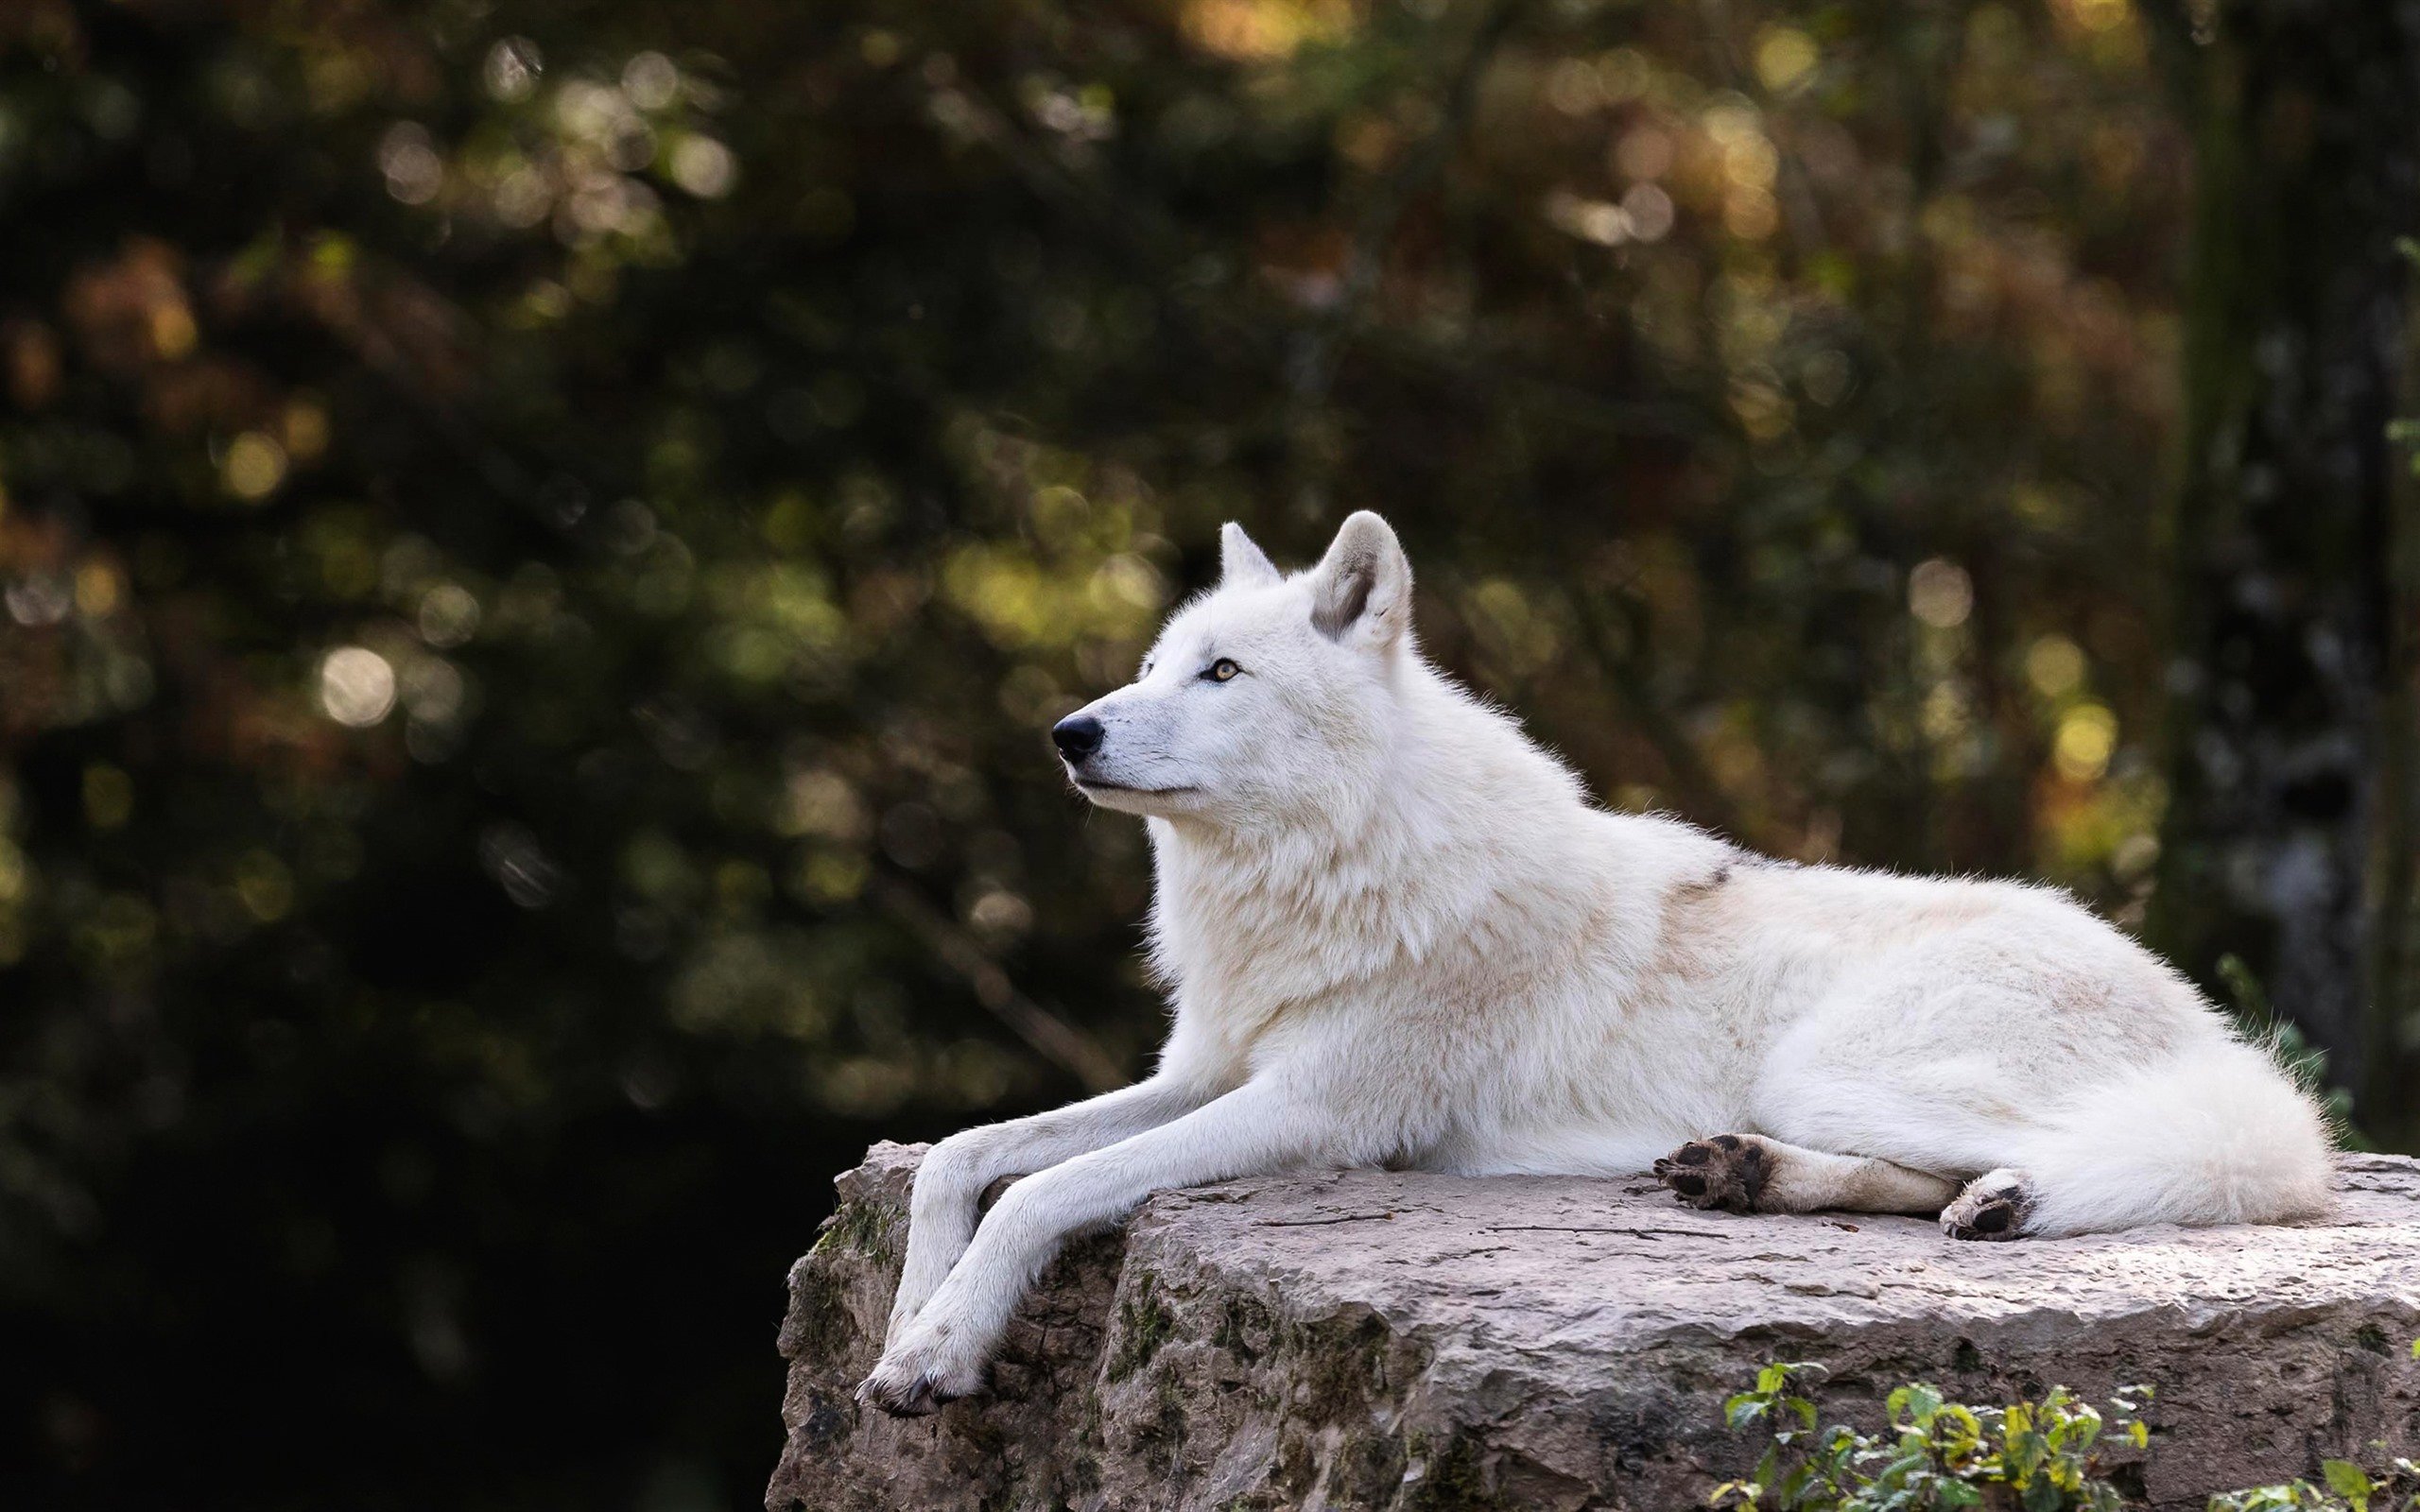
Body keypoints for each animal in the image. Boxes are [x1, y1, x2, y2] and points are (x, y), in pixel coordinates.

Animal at [856, 510, 2342, 1413]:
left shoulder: (1315, 1110)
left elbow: (1044, 1193)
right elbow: (963, 1157)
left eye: (1222, 674)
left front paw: (942, 1347)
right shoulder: (1205, 1073)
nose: (1069, 733)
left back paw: (2003, 1199)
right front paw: (908, 1322)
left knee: (2168, 1163)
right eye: (1157, 664)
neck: (1328, 874)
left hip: (1839, 1063)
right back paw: (1760, 1177)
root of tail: (2204, 1024)